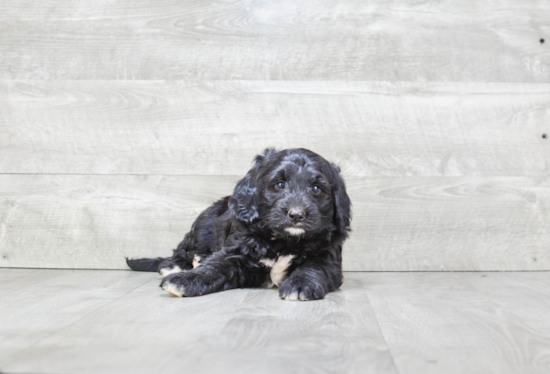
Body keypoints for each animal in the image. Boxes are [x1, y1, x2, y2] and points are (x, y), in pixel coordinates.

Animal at [126, 147, 354, 300]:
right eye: (279, 185)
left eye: (316, 189)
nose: (297, 214)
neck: (286, 241)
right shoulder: (238, 251)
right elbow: (215, 266)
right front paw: (185, 280)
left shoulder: (328, 257)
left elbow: (314, 268)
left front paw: (300, 284)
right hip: (202, 226)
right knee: (183, 251)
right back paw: (175, 266)